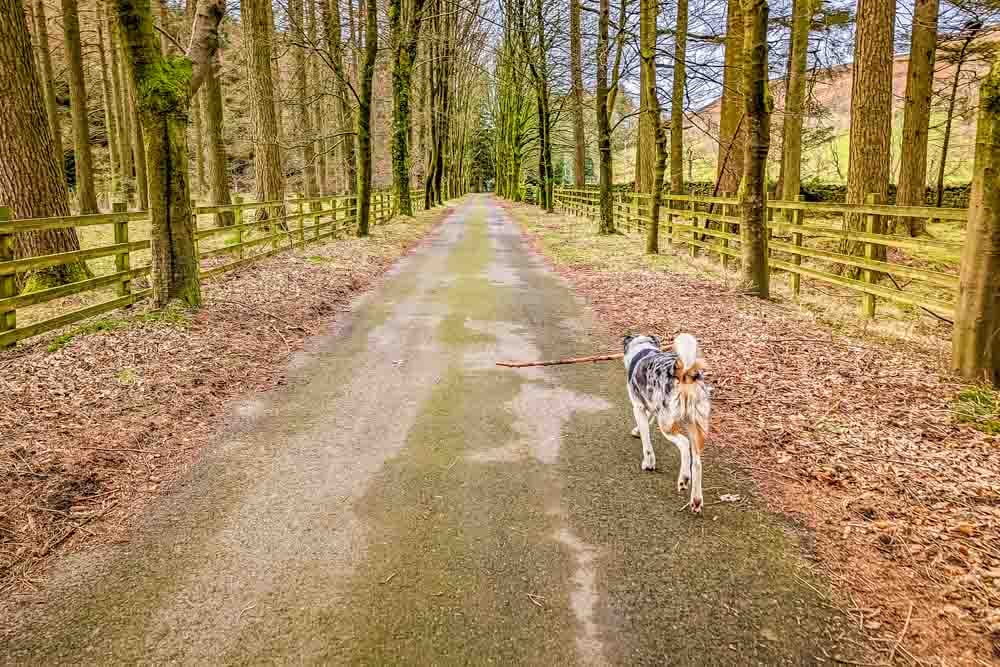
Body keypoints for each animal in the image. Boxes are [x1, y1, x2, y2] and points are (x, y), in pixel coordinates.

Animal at [624, 336, 712, 516]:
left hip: (666, 423)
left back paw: (684, 478)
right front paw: (637, 431)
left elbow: (647, 443)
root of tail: (684, 373)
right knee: (697, 463)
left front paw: (648, 463)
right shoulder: (651, 407)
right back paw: (696, 500)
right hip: (695, 426)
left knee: (684, 445)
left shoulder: (638, 407)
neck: (643, 349)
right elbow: (647, 421)